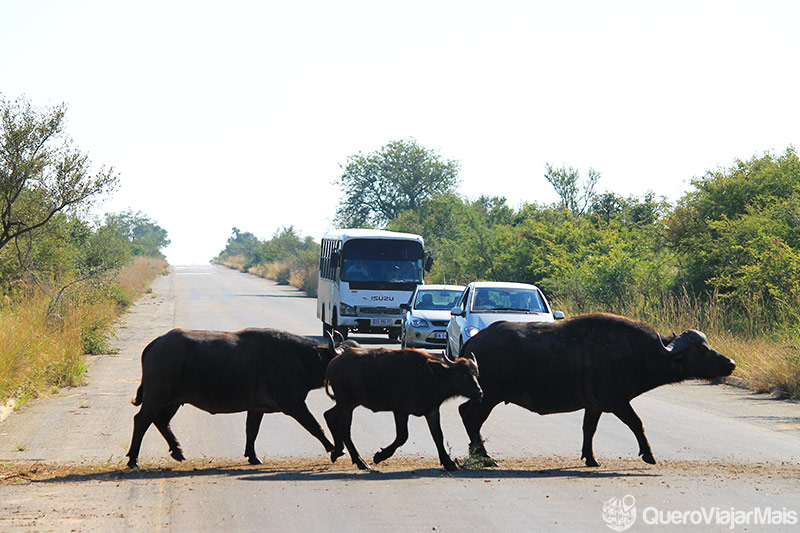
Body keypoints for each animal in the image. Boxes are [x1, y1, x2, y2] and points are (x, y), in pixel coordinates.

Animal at [126, 326, 346, 468]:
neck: (299, 358)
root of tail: (156, 343)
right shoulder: (294, 405)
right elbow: (315, 426)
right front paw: (335, 449)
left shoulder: (257, 408)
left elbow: (252, 431)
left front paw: (253, 456)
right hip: (157, 397)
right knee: (142, 420)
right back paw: (133, 460)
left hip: (174, 400)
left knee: (161, 421)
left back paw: (178, 451)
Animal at [324, 350, 482, 470]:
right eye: (462, 374)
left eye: (476, 373)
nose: (479, 392)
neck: (429, 377)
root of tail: (332, 364)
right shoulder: (400, 411)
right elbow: (402, 436)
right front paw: (379, 456)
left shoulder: (432, 411)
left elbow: (438, 436)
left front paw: (448, 463)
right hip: (346, 404)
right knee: (345, 429)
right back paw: (360, 461)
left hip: (347, 404)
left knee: (328, 415)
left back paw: (337, 451)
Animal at [460, 312, 736, 466]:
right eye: (701, 350)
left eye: (708, 345)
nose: (731, 363)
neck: (637, 352)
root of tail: (473, 343)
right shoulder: (617, 402)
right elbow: (637, 424)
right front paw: (649, 454)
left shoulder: (594, 406)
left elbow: (588, 430)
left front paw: (590, 459)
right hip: (488, 396)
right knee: (470, 416)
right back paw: (484, 457)